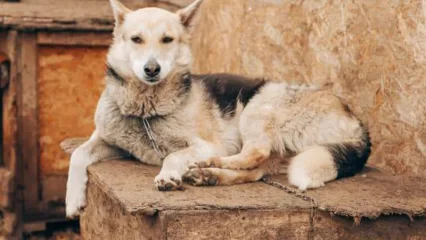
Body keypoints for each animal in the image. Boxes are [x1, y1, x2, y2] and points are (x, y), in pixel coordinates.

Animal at [63, 0, 370, 218]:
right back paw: (210, 175)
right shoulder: (105, 140)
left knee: (253, 153)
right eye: (136, 39)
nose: (152, 69)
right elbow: (78, 155)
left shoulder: (203, 143)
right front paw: (73, 201)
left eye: (167, 40)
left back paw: (210, 165)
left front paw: (168, 175)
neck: (145, 112)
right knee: (255, 171)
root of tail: (356, 121)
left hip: (257, 106)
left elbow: (173, 155)